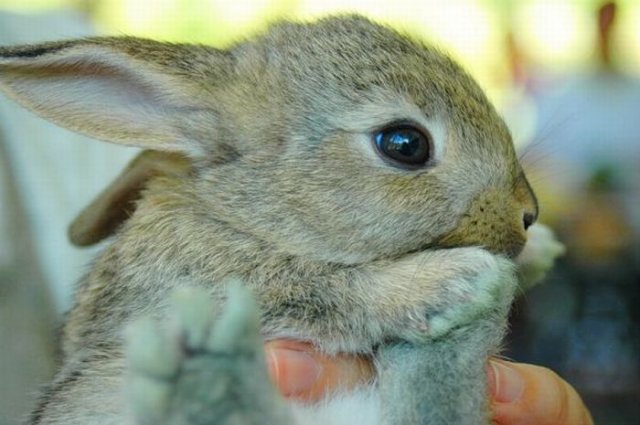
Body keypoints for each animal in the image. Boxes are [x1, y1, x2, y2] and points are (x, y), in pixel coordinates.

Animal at [0, 14, 564, 422]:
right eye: (405, 144)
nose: (527, 213)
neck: (243, 213)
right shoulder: (205, 281)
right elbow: (324, 289)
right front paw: (452, 277)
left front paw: (539, 251)